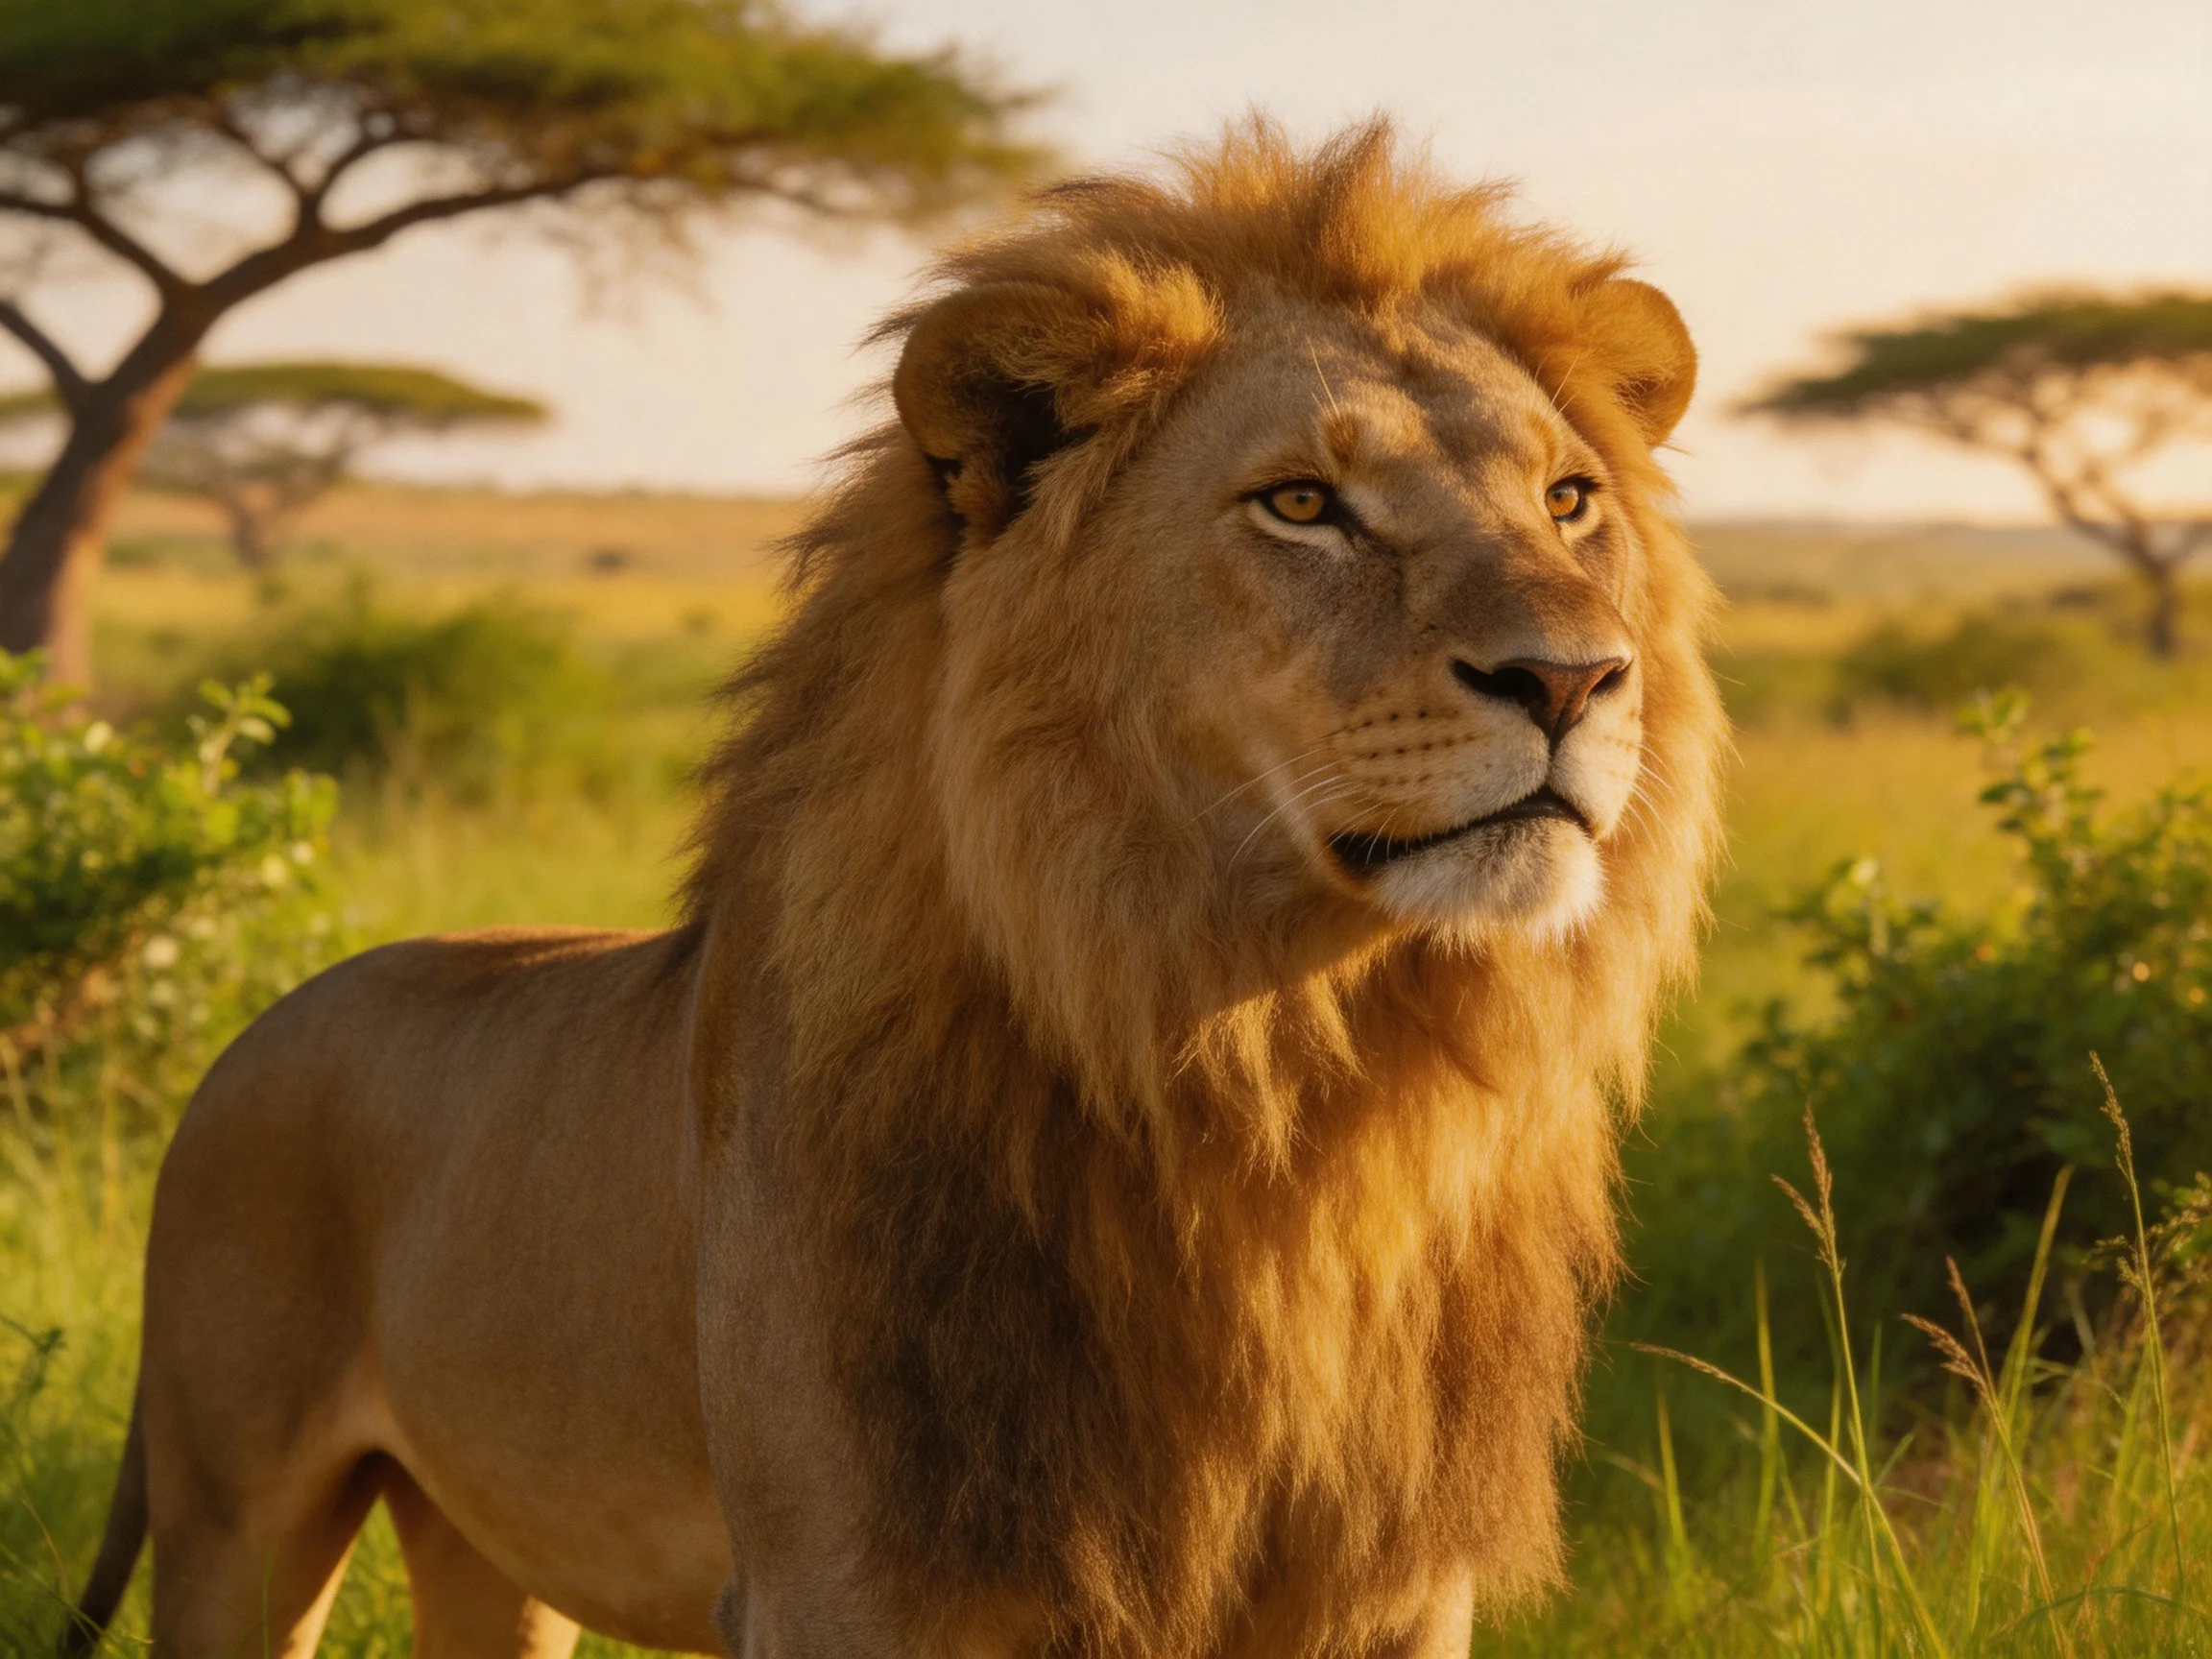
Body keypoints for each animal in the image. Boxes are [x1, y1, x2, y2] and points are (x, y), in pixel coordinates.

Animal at [65, 120, 1724, 1659]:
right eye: (1304, 505)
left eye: (1570, 499)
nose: (1573, 679)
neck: (1285, 1069)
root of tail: (266, 1023)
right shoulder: (851, 1579)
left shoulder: (1392, 1588)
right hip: (233, 1514)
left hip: (489, 1553)